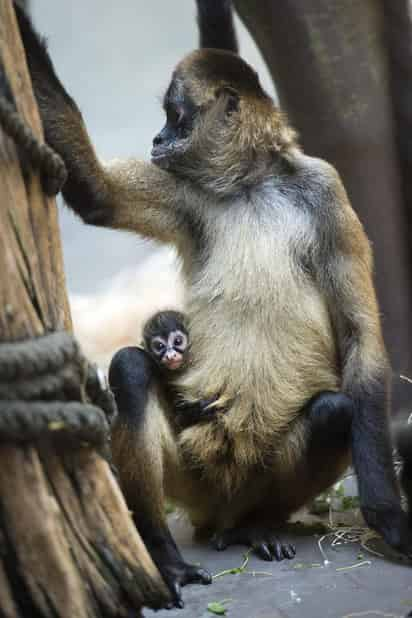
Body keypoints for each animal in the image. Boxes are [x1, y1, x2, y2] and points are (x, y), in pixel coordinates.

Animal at [16, 0, 412, 608]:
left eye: (175, 117)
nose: (157, 138)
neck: (251, 184)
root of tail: (221, 507)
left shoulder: (325, 187)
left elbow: (360, 338)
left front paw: (387, 515)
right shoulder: (187, 189)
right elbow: (96, 193)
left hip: (255, 477)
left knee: (334, 410)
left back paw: (255, 527)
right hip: (193, 478)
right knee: (130, 368)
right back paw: (165, 554)